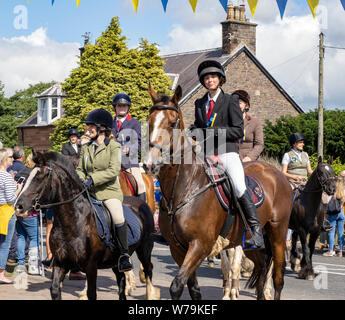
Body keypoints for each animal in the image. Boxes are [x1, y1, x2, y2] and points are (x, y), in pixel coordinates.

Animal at [13, 151, 159, 302]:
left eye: (39, 178)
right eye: (26, 178)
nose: (18, 207)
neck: (72, 222)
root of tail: (142, 204)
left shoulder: (90, 266)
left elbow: (91, 293)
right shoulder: (60, 263)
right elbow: (55, 289)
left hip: (144, 249)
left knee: (148, 270)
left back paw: (150, 293)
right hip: (115, 261)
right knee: (121, 280)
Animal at [142, 85, 292, 300]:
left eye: (172, 123)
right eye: (149, 121)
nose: (149, 164)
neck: (186, 186)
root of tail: (278, 174)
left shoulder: (200, 245)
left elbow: (177, 285)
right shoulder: (177, 248)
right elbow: (193, 289)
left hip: (278, 234)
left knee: (277, 278)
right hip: (251, 244)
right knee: (262, 271)